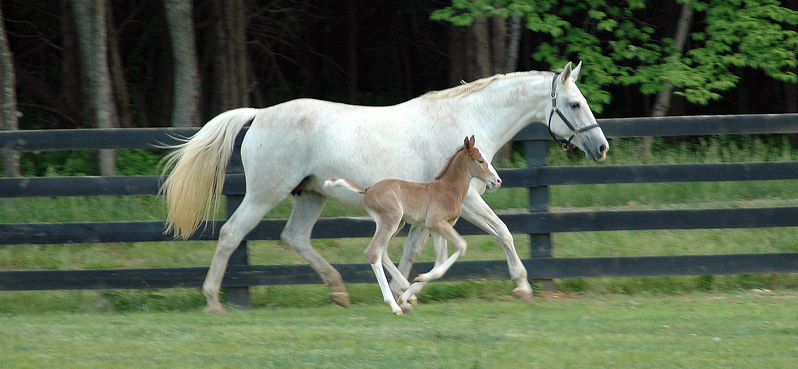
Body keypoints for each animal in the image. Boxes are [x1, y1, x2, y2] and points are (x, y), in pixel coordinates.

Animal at [162, 61, 612, 314]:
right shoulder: (467, 201)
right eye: (574, 104)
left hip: (311, 196)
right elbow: (503, 232)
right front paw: (521, 286)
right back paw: (213, 301)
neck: (465, 118)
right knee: (231, 233)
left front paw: (406, 293)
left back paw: (339, 291)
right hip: (263, 194)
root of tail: (258, 114)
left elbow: (414, 251)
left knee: (295, 237)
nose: (602, 147)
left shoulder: (425, 214)